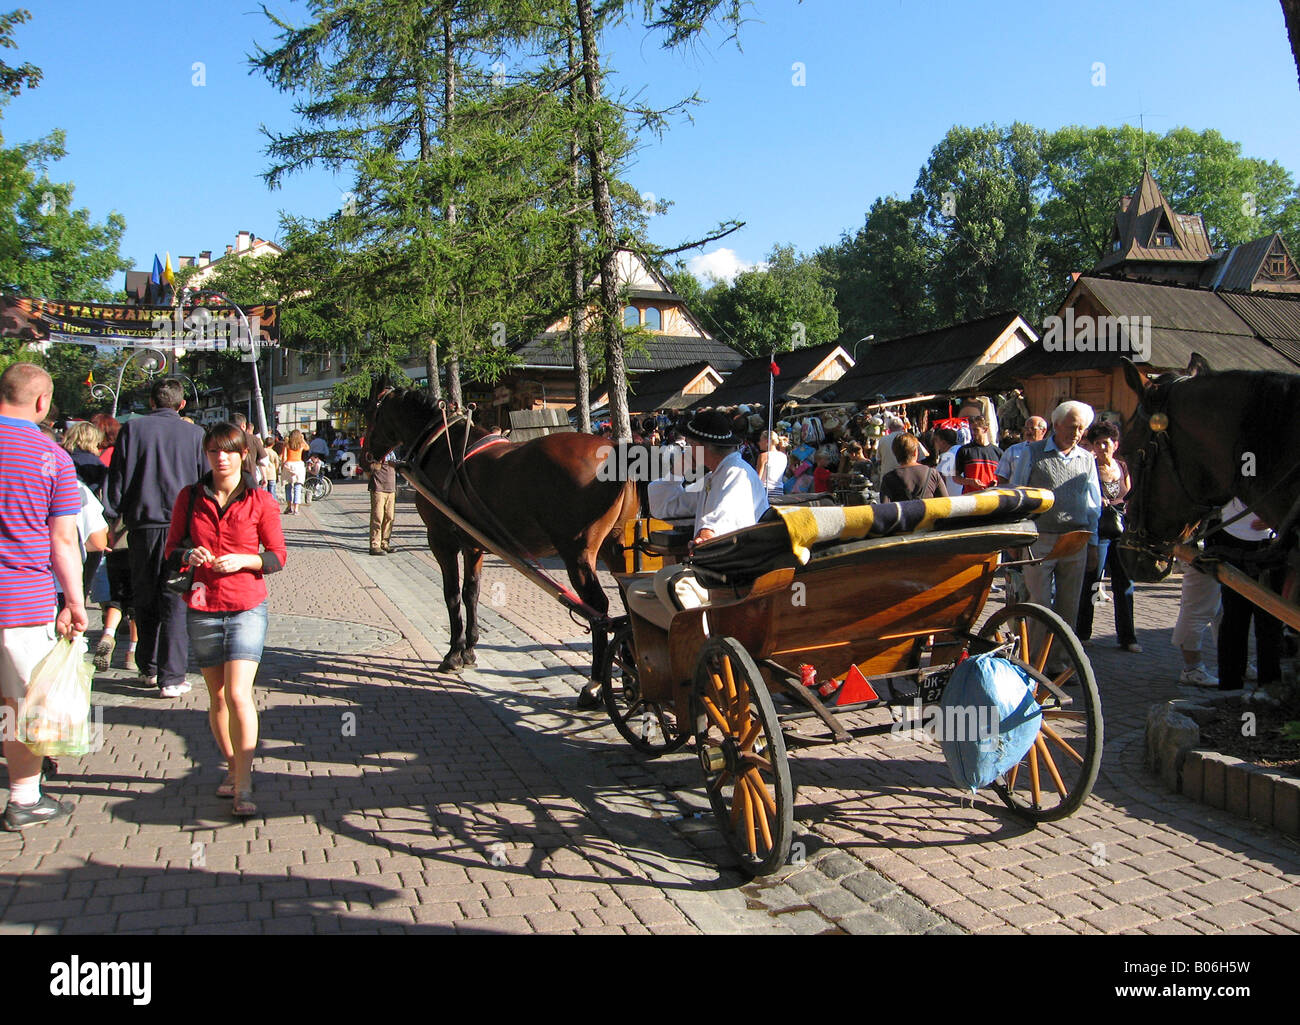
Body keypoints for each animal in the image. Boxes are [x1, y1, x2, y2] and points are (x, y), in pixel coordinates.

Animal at [366, 385, 639, 702]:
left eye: (374, 413)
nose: (365, 455)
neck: (441, 448)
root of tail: (616, 451)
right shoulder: (473, 544)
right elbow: (471, 592)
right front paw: (469, 649)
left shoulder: (441, 539)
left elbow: (452, 595)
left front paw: (453, 653)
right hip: (616, 548)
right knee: (629, 602)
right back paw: (631, 677)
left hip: (579, 555)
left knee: (599, 610)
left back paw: (594, 684)